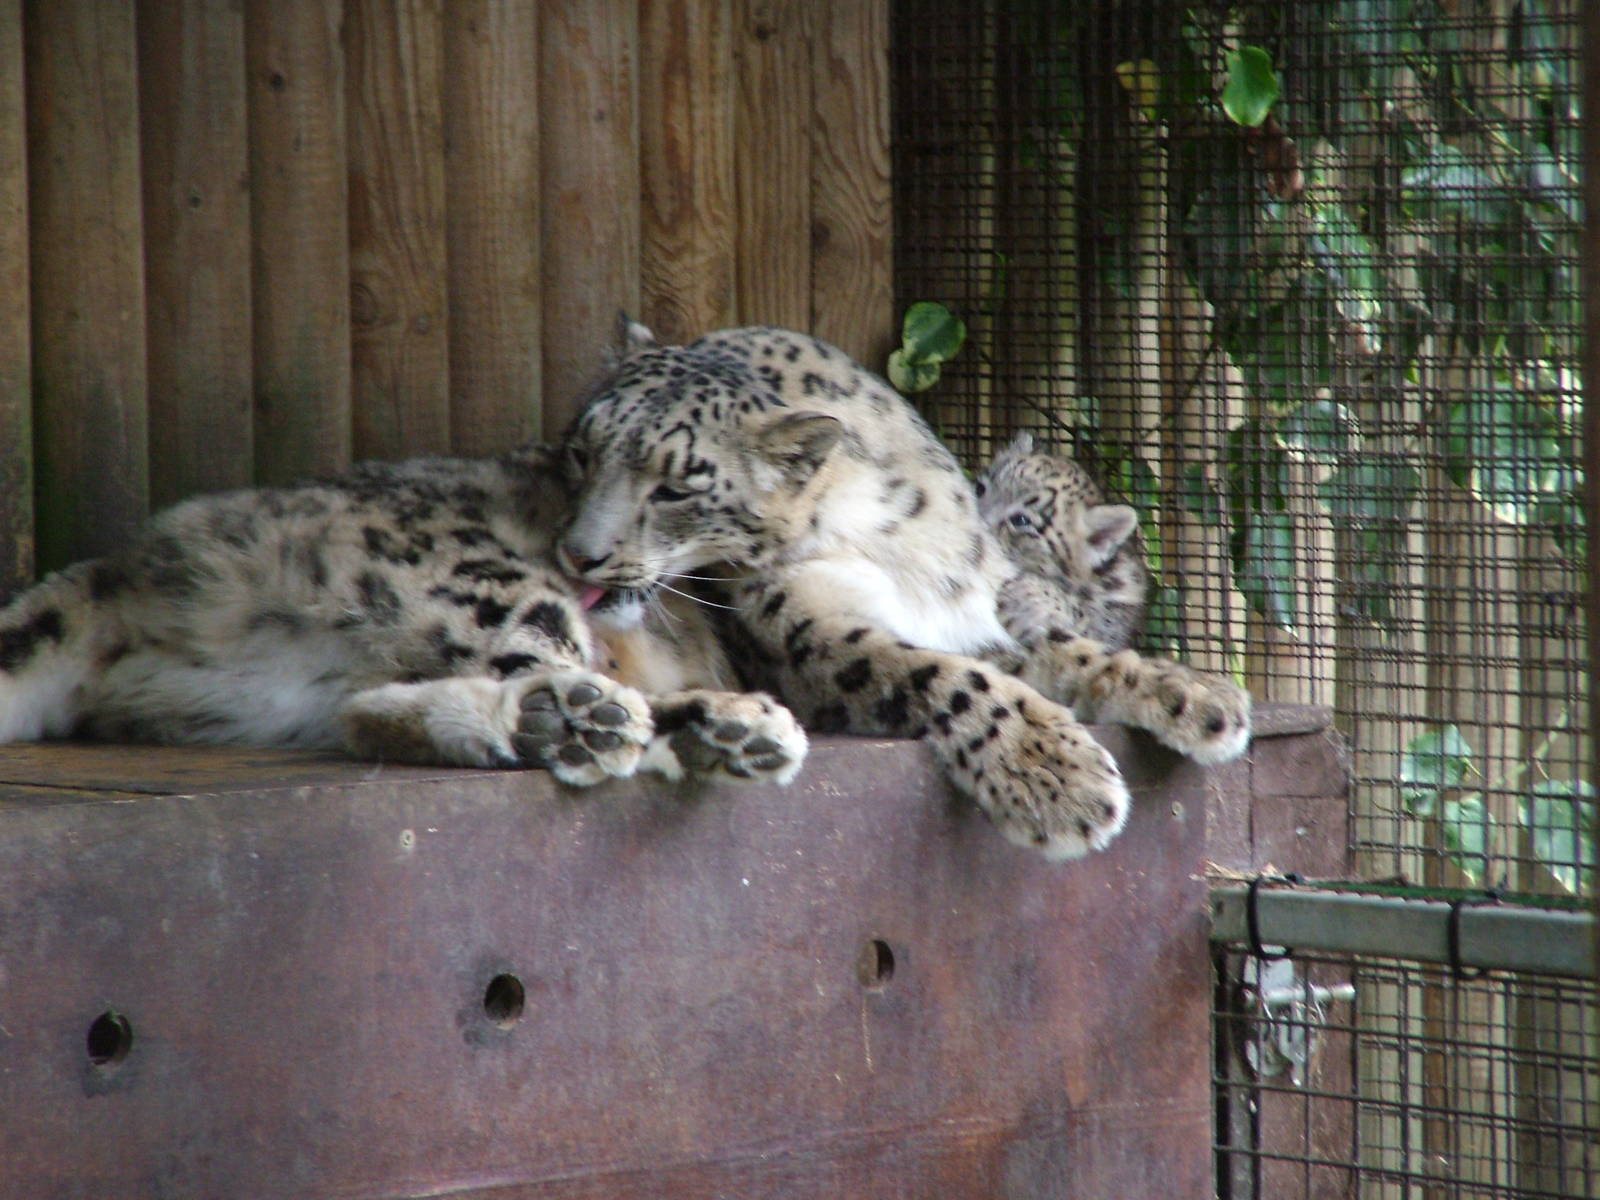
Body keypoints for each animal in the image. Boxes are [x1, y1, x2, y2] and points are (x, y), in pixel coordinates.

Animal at [0, 445, 808, 789]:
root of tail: (123, 566)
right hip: (482, 576)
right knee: (541, 651)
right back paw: (596, 715)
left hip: (273, 694)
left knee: (365, 712)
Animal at [553, 321, 1252, 861]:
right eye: (581, 452)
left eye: (674, 489)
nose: (578, 554)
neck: (884, 538)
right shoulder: (812, 631)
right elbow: (947, 676)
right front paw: (1053, 771)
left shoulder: (969, 613)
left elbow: (1071, 653)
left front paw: (1195, 692)